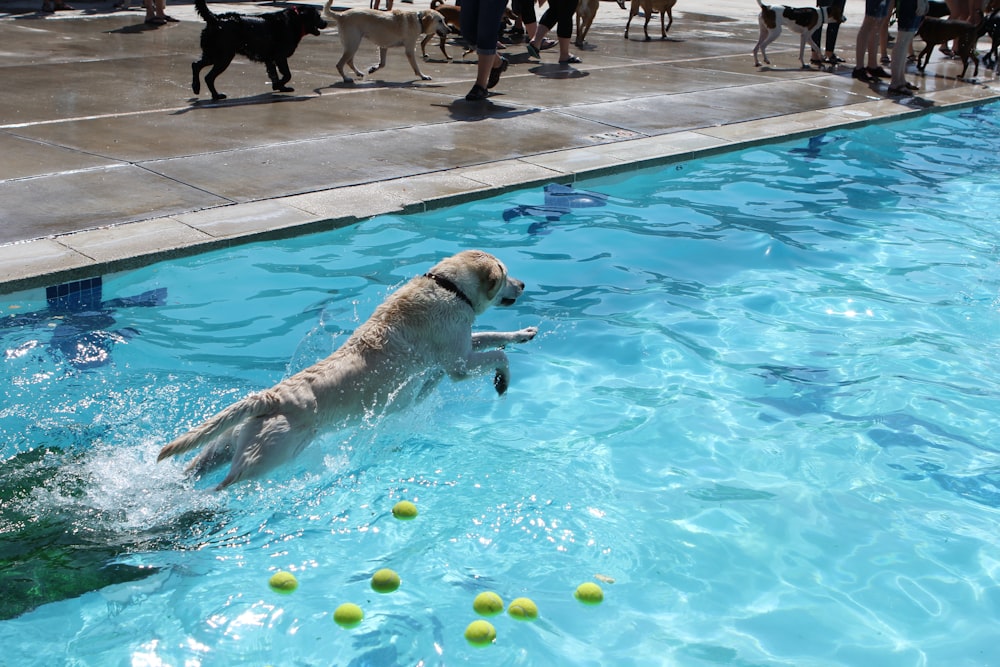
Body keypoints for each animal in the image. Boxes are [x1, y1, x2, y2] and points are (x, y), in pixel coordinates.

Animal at [158, 250, 540, 490]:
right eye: (506, 275)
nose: (523, 285)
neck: (449, 287)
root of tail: (270, 397)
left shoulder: (459, 346)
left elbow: (492, 337)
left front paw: (522, 334)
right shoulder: (458, 362)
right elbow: (496, 355)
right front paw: (502, 379)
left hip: (227, 442)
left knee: (196, 467)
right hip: (268, 456)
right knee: (224, 485)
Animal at [189, 0, 326, 100]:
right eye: (318, 16)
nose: (326, 22)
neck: (295, 20)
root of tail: (215, 18)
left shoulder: (270, 60)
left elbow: (274, 74)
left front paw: (280, 87)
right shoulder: (280, 57)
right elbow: (287, 74)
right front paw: (279, 85)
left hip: (212, 54)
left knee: (195, 65)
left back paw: (196, 87)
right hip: (224, 56)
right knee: (208, 77)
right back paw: (216, 95)